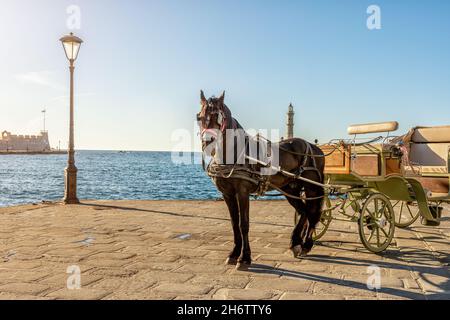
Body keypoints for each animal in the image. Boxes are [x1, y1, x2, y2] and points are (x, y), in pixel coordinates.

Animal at [196, 90, 324, 270]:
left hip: (312, 188)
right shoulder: (227, 194)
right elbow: (234, 223)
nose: (207, 143)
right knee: (304, 212)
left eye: (219, 117)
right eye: (199, 117)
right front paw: (234, 253)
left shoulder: (242, 192)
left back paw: (306, 244)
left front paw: (244, 258)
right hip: (291, 188)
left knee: (313, 213)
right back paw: (295, 243)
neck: (236, 153)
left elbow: (243, 224)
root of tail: (314, 147)